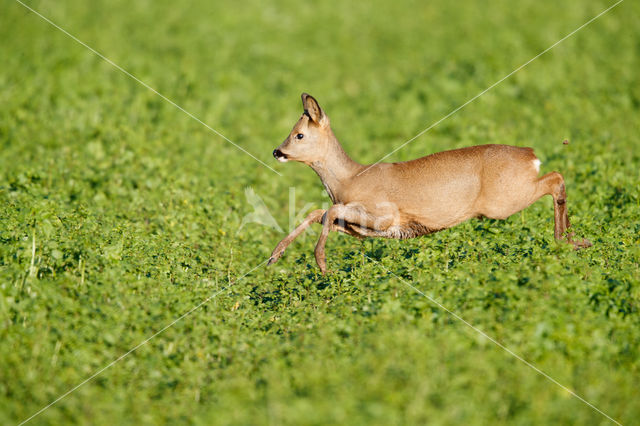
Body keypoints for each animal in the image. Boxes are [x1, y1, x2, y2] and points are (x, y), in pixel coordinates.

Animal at [266, 92, 592, 276]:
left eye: (299, 135)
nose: (277, 152)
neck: (349, 178)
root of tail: (531, 155)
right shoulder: (359, 227)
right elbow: (319, 213)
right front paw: (274, 256)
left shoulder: (384, 217)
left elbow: (327, 212)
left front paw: (321, 264)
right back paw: (576, 241)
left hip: (503, 202)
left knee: (556, 178)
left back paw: (569, 241)